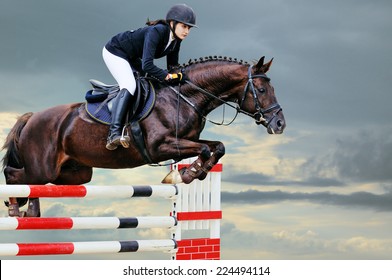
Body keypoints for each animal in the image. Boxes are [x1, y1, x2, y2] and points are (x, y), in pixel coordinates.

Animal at [2, 54, 284, 217]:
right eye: (261, 89)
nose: (279, 124)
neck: (183, 97)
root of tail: (32, 117)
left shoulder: (186, 141)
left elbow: (218, 146)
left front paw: (194, 173)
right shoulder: (160, 147)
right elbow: (205, 149)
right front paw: (185, 175)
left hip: (75, 174)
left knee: (35, 183)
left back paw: (31, 209)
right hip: (44, 167)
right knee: (14, 175)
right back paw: (16, 207)